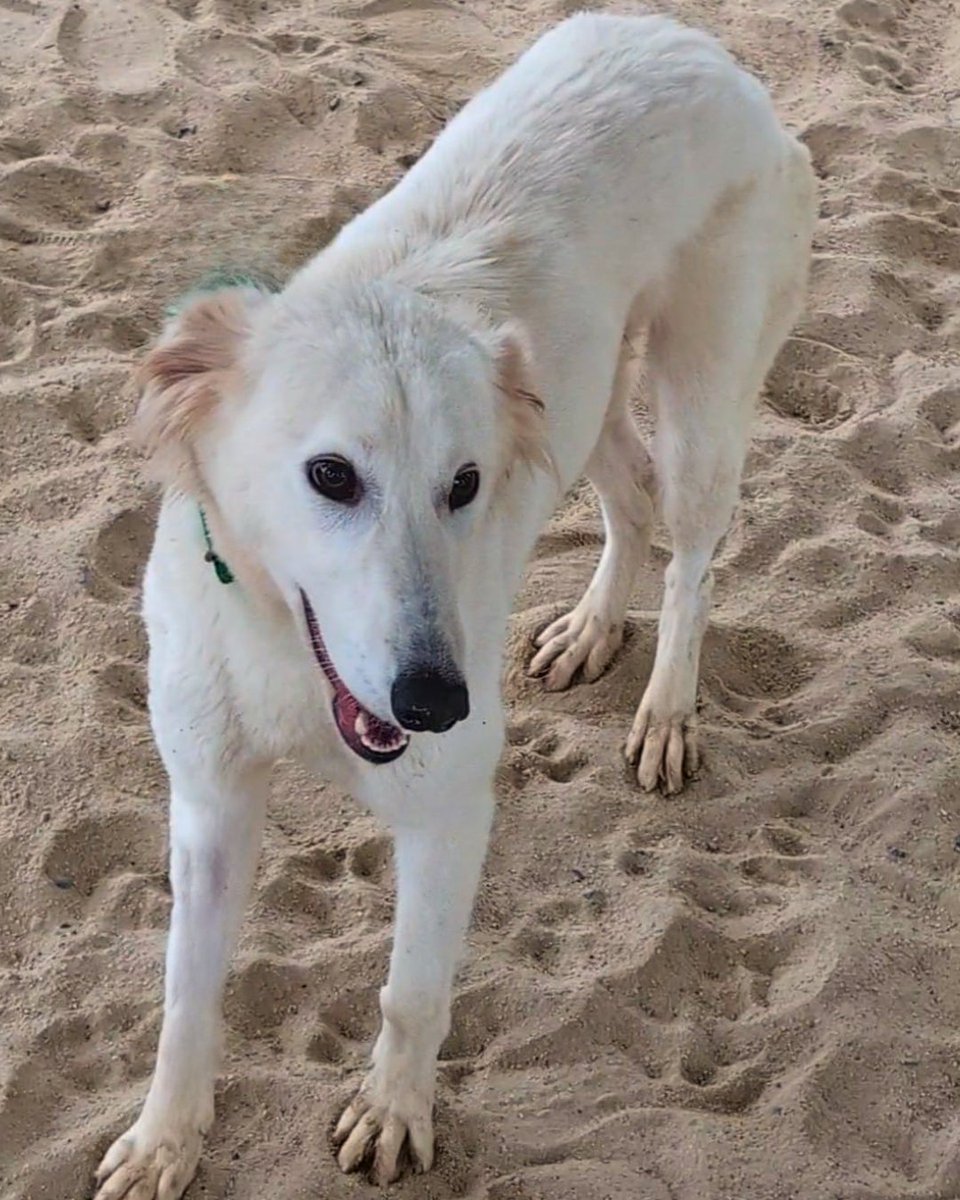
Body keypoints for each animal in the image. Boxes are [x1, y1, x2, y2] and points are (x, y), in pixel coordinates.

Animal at [93, 11, 816, 1200]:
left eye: (463, 484)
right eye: (330, 475)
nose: (437, 702)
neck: (289, 659)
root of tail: (693, 41)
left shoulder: (447, 814)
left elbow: (411, 989)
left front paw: (393, 1111)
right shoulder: (207, 802)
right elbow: (186, 994)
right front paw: (165, 1139)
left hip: (700, 396)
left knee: (695, 557)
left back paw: (666, 709)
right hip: (576, 406)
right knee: (628, 500)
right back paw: (589, 631)